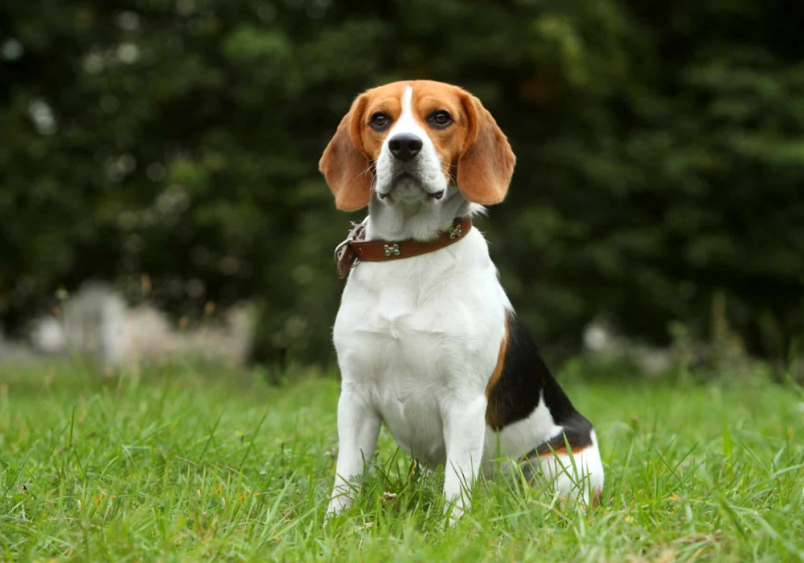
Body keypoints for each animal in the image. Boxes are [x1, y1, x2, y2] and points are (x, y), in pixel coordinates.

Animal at [318, 80, 600, 520]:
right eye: (379, 119)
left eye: (440, 117)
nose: (403, 146)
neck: (410, 250)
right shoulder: (355, 397)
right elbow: (347, 476)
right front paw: (336, 522)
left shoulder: (464, 401)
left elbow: (457, 483)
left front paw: (453, 528)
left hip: (562, 463)